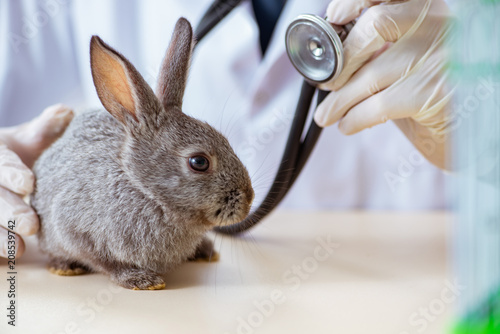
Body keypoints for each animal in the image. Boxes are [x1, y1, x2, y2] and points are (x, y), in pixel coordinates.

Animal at [31, 17, 254, 290]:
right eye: (199, 162)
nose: (249, 199)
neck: (145, 191)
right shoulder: (72, 228)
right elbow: (103, 261)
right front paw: (140, 279)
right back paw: (64, 267)